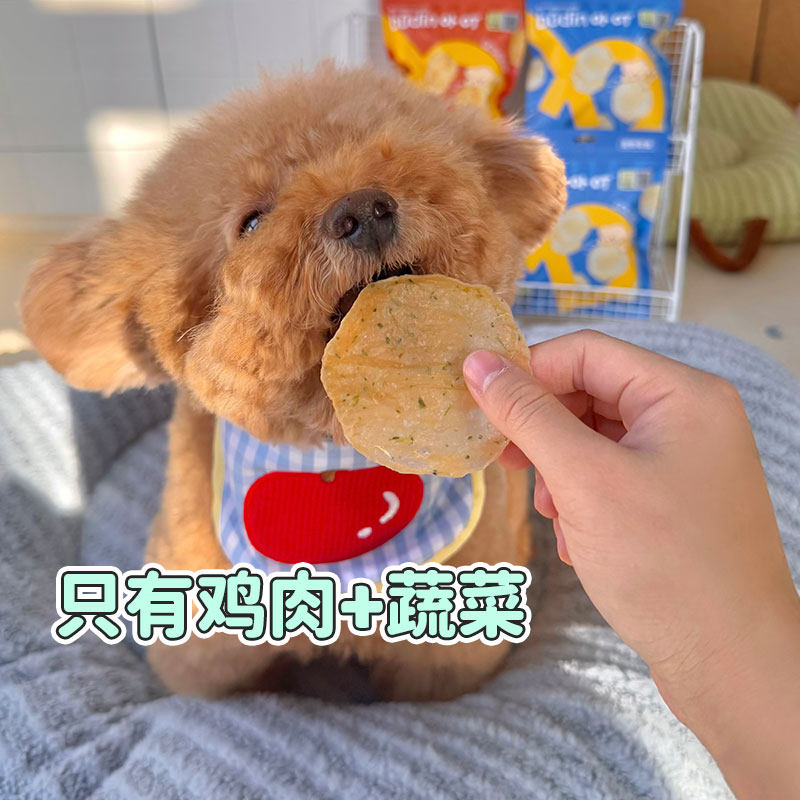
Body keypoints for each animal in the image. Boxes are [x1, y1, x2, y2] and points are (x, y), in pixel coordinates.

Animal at [21, 64, 565, 702]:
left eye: (389, 149)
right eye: (251, 222)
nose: (363, 210)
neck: (330, 454)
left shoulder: (438, 662)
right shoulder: (209, 652)